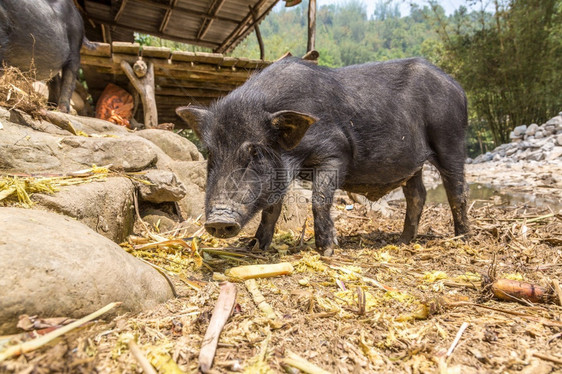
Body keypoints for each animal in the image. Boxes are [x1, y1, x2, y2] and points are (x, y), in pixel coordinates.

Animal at [176, 57, 468, 256]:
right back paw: (402, 241)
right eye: (211, 152)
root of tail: (457, 86)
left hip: (451, 138)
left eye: (255, 151)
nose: (218, 220)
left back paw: (462, 239)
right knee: (417, 195)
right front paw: (254, 247)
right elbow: (271, 208)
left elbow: (319, 199)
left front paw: (327, 250)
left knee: (456, 190)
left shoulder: (335, 152)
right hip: (412, 164)